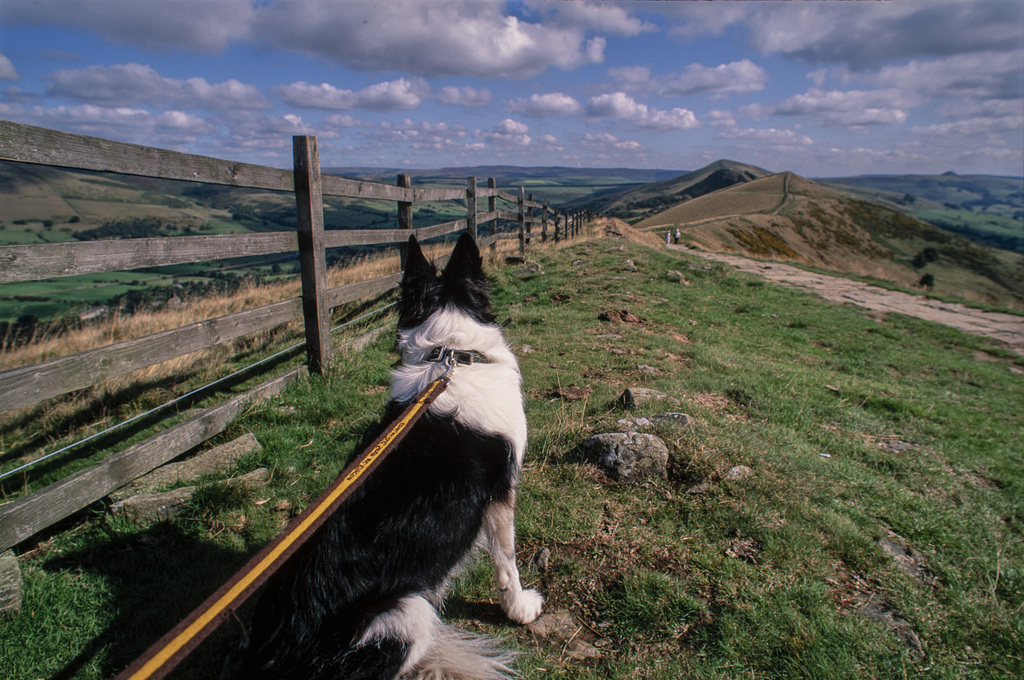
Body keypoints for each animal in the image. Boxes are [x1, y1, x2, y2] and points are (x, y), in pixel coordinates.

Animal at [241, 232, 544, 675]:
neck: (450, 352)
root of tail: (272, 656)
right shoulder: (500, 494)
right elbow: (507, 561)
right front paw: (521, 608)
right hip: (407, 609)